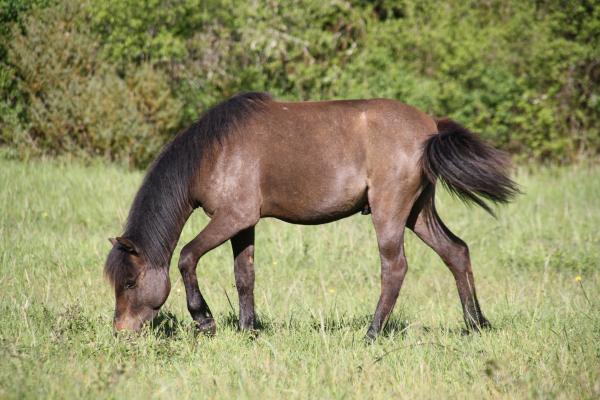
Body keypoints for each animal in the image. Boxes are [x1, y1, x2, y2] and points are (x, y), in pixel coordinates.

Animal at [102, 92, 516, 340]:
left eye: (129, 282)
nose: (121, 330)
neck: (214, 151)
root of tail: (430, 126)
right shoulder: (244, 224)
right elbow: (244, 276)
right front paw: (248, 330)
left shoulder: (232, 217)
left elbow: (187, 257)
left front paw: (204, 319)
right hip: (418, 212)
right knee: (456, 252)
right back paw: (476, 324)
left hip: (390, 211)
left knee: (395, 268)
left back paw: (372, 332)